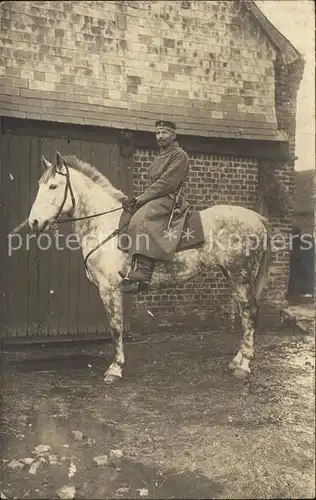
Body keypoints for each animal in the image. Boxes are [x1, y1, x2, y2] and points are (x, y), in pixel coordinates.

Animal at [28, 151, 270, 382]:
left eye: (53, 186)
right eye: (39, 185)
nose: (34, 222)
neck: (105, 225)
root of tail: (257, 218)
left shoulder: (110, 289)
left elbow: (116, 327)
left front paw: (115, 368)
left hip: (241, 275)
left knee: (250, 312)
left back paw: (244, 365)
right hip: (233, 276)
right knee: (244, 313)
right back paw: (237, 359)